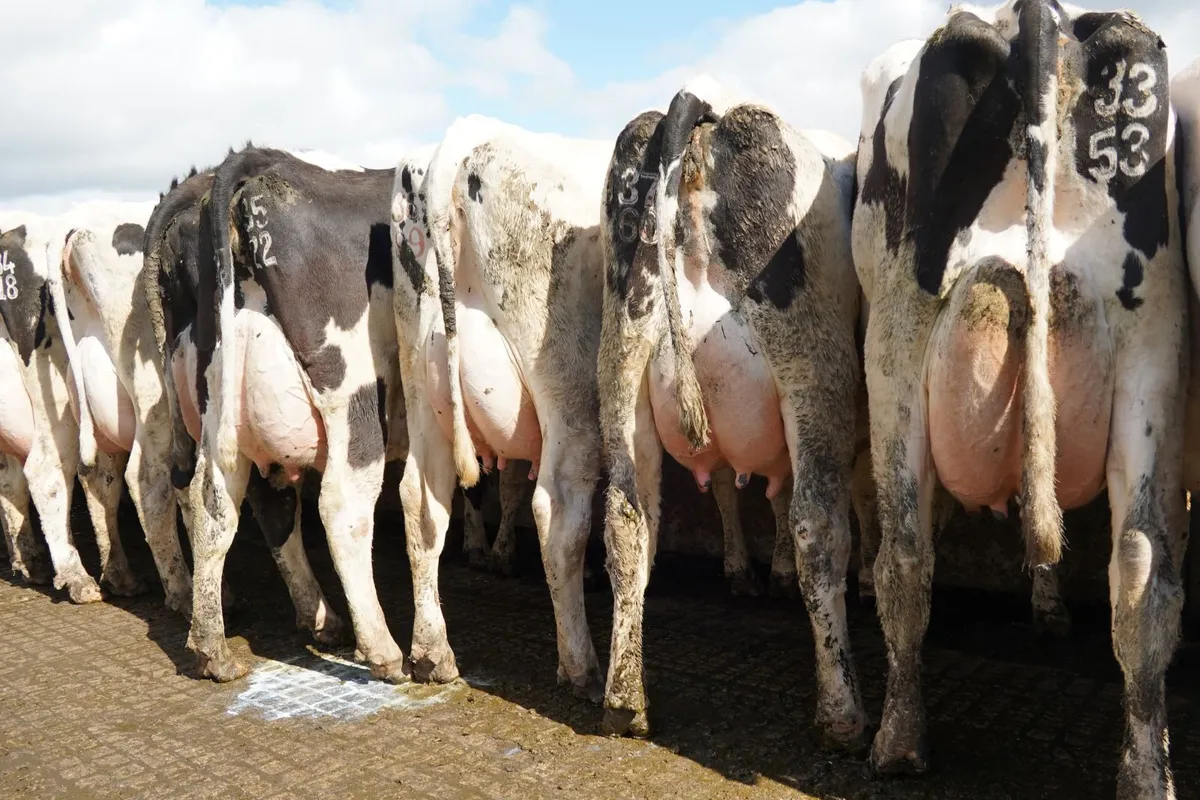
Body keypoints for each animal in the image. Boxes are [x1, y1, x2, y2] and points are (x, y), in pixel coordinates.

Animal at [597, 77, 870, 747]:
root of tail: (707, 117)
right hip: (813, 370)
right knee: (818, 524)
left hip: (621, 368)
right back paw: (842, 712)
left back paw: (624, 701)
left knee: (627, 522)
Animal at [854, 4, 1186, 796]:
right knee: (1141, 565)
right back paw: (1146, 773)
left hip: (898, 347)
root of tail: (1038, 21)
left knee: (905, 553)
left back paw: (898, 743)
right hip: (1151, 350)